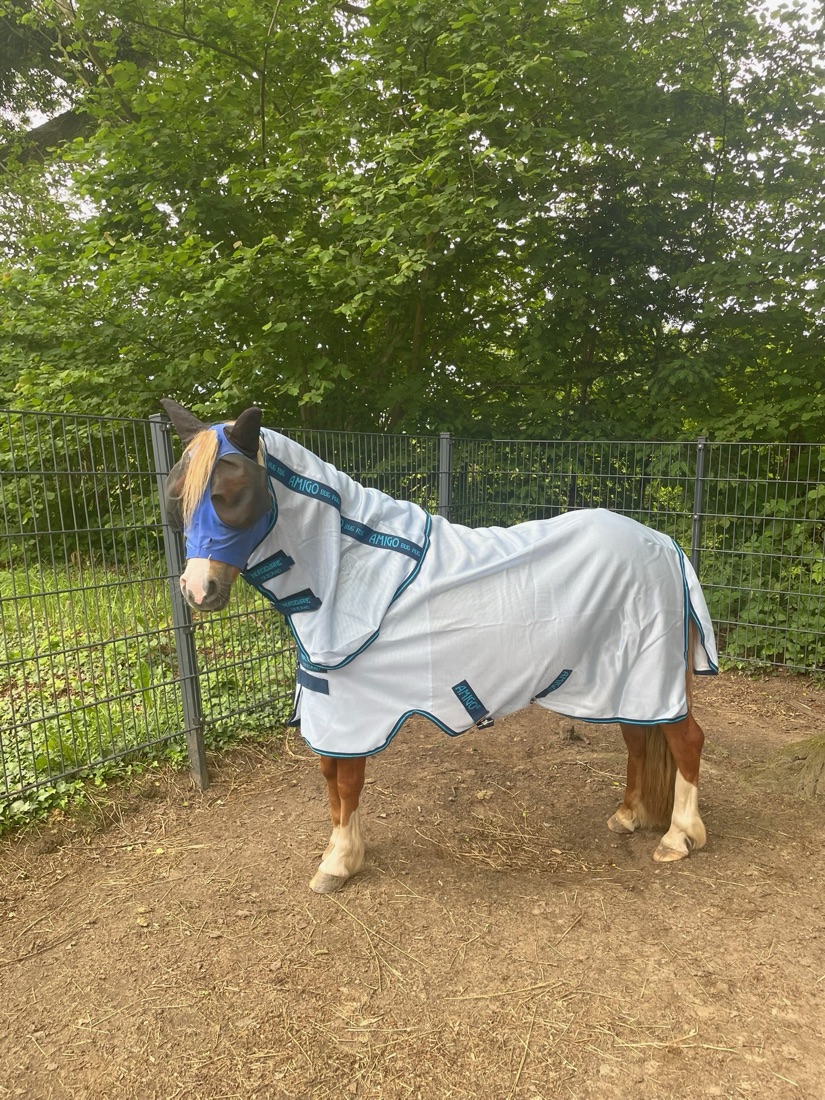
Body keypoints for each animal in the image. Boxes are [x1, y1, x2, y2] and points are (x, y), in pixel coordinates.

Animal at [160, 398, 718, 894]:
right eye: (177, 493)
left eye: (235, 490)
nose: (198, 590)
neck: (352, 569)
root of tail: (664, 543)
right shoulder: (329, 708)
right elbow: (330, 779)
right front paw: (342, 852)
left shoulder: (357, 713)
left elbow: (347, 783)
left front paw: (339, 862)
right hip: (624, 682)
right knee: (639, 741)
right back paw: (628, 816)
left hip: (649, 677)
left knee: (686, 742)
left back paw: (679, 837)